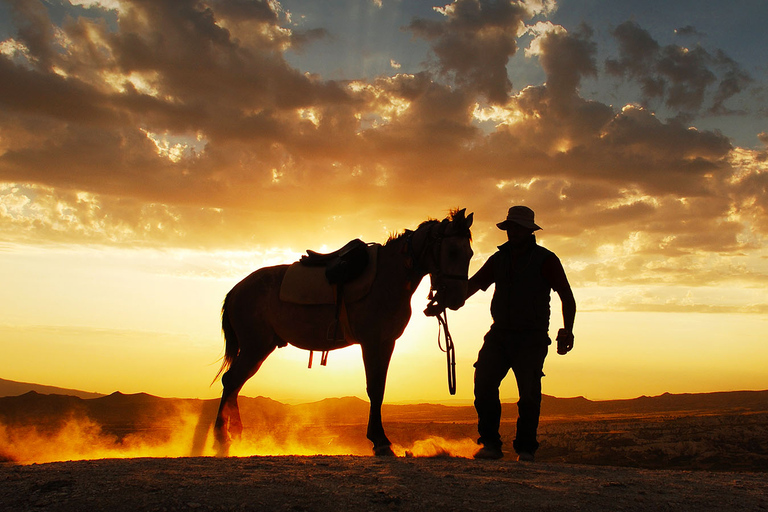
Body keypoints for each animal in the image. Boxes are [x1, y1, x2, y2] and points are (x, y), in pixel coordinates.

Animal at [213, 208, 472, 456]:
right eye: (452, 252)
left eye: (469, 253)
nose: (457, 298)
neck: (389, 277)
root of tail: (236, 290)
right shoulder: (371, 342)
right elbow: (374, 387)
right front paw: (380, 441)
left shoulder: (387, 342)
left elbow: (380, 387)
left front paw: (380, 439)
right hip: (254, 347)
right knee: (231, 381)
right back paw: (221, 439)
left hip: (259, 348)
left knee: (235, 384)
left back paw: (235, 435)